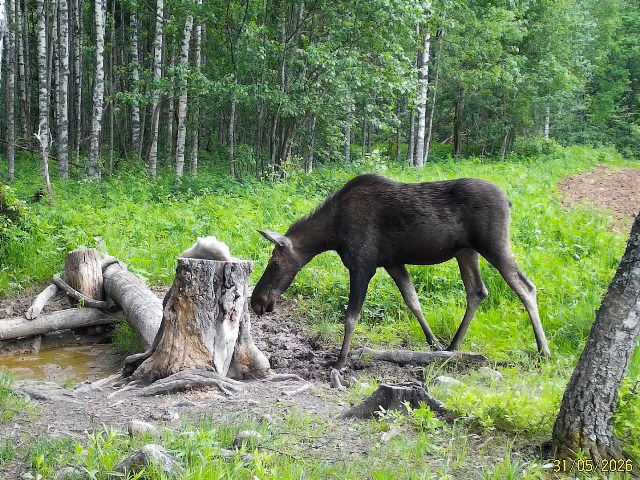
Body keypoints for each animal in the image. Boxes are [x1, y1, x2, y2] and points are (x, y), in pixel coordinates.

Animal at [251, 174, 550, 369]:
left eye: (274, 263)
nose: (257, 301)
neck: (332, 234)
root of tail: (509, 201)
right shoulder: (392, 262)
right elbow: (413, 301)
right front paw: (433, 343)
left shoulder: (362, 266)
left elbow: (350, 318)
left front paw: (340, 361)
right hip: (466, 251)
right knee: (477, 291)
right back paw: (453, 346)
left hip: (494, 244)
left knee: (526, 287)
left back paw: (543, 349)